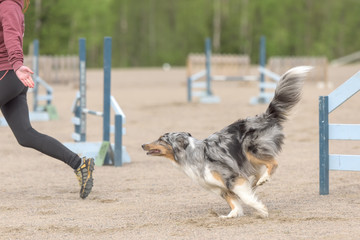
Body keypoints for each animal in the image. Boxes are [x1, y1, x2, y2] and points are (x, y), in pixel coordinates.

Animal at [142, 66, 310, 218]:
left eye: (161, 139)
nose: (143, 145)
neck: (192, 155)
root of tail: (266, 116)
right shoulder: (221, 187)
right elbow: (234, 202)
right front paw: (232, 214)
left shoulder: (231, 178)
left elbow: (246, 199)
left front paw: (261, 210)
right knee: (257, 173)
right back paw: (255, 183)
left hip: (250, 149)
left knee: (273, 163)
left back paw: (264, 179)